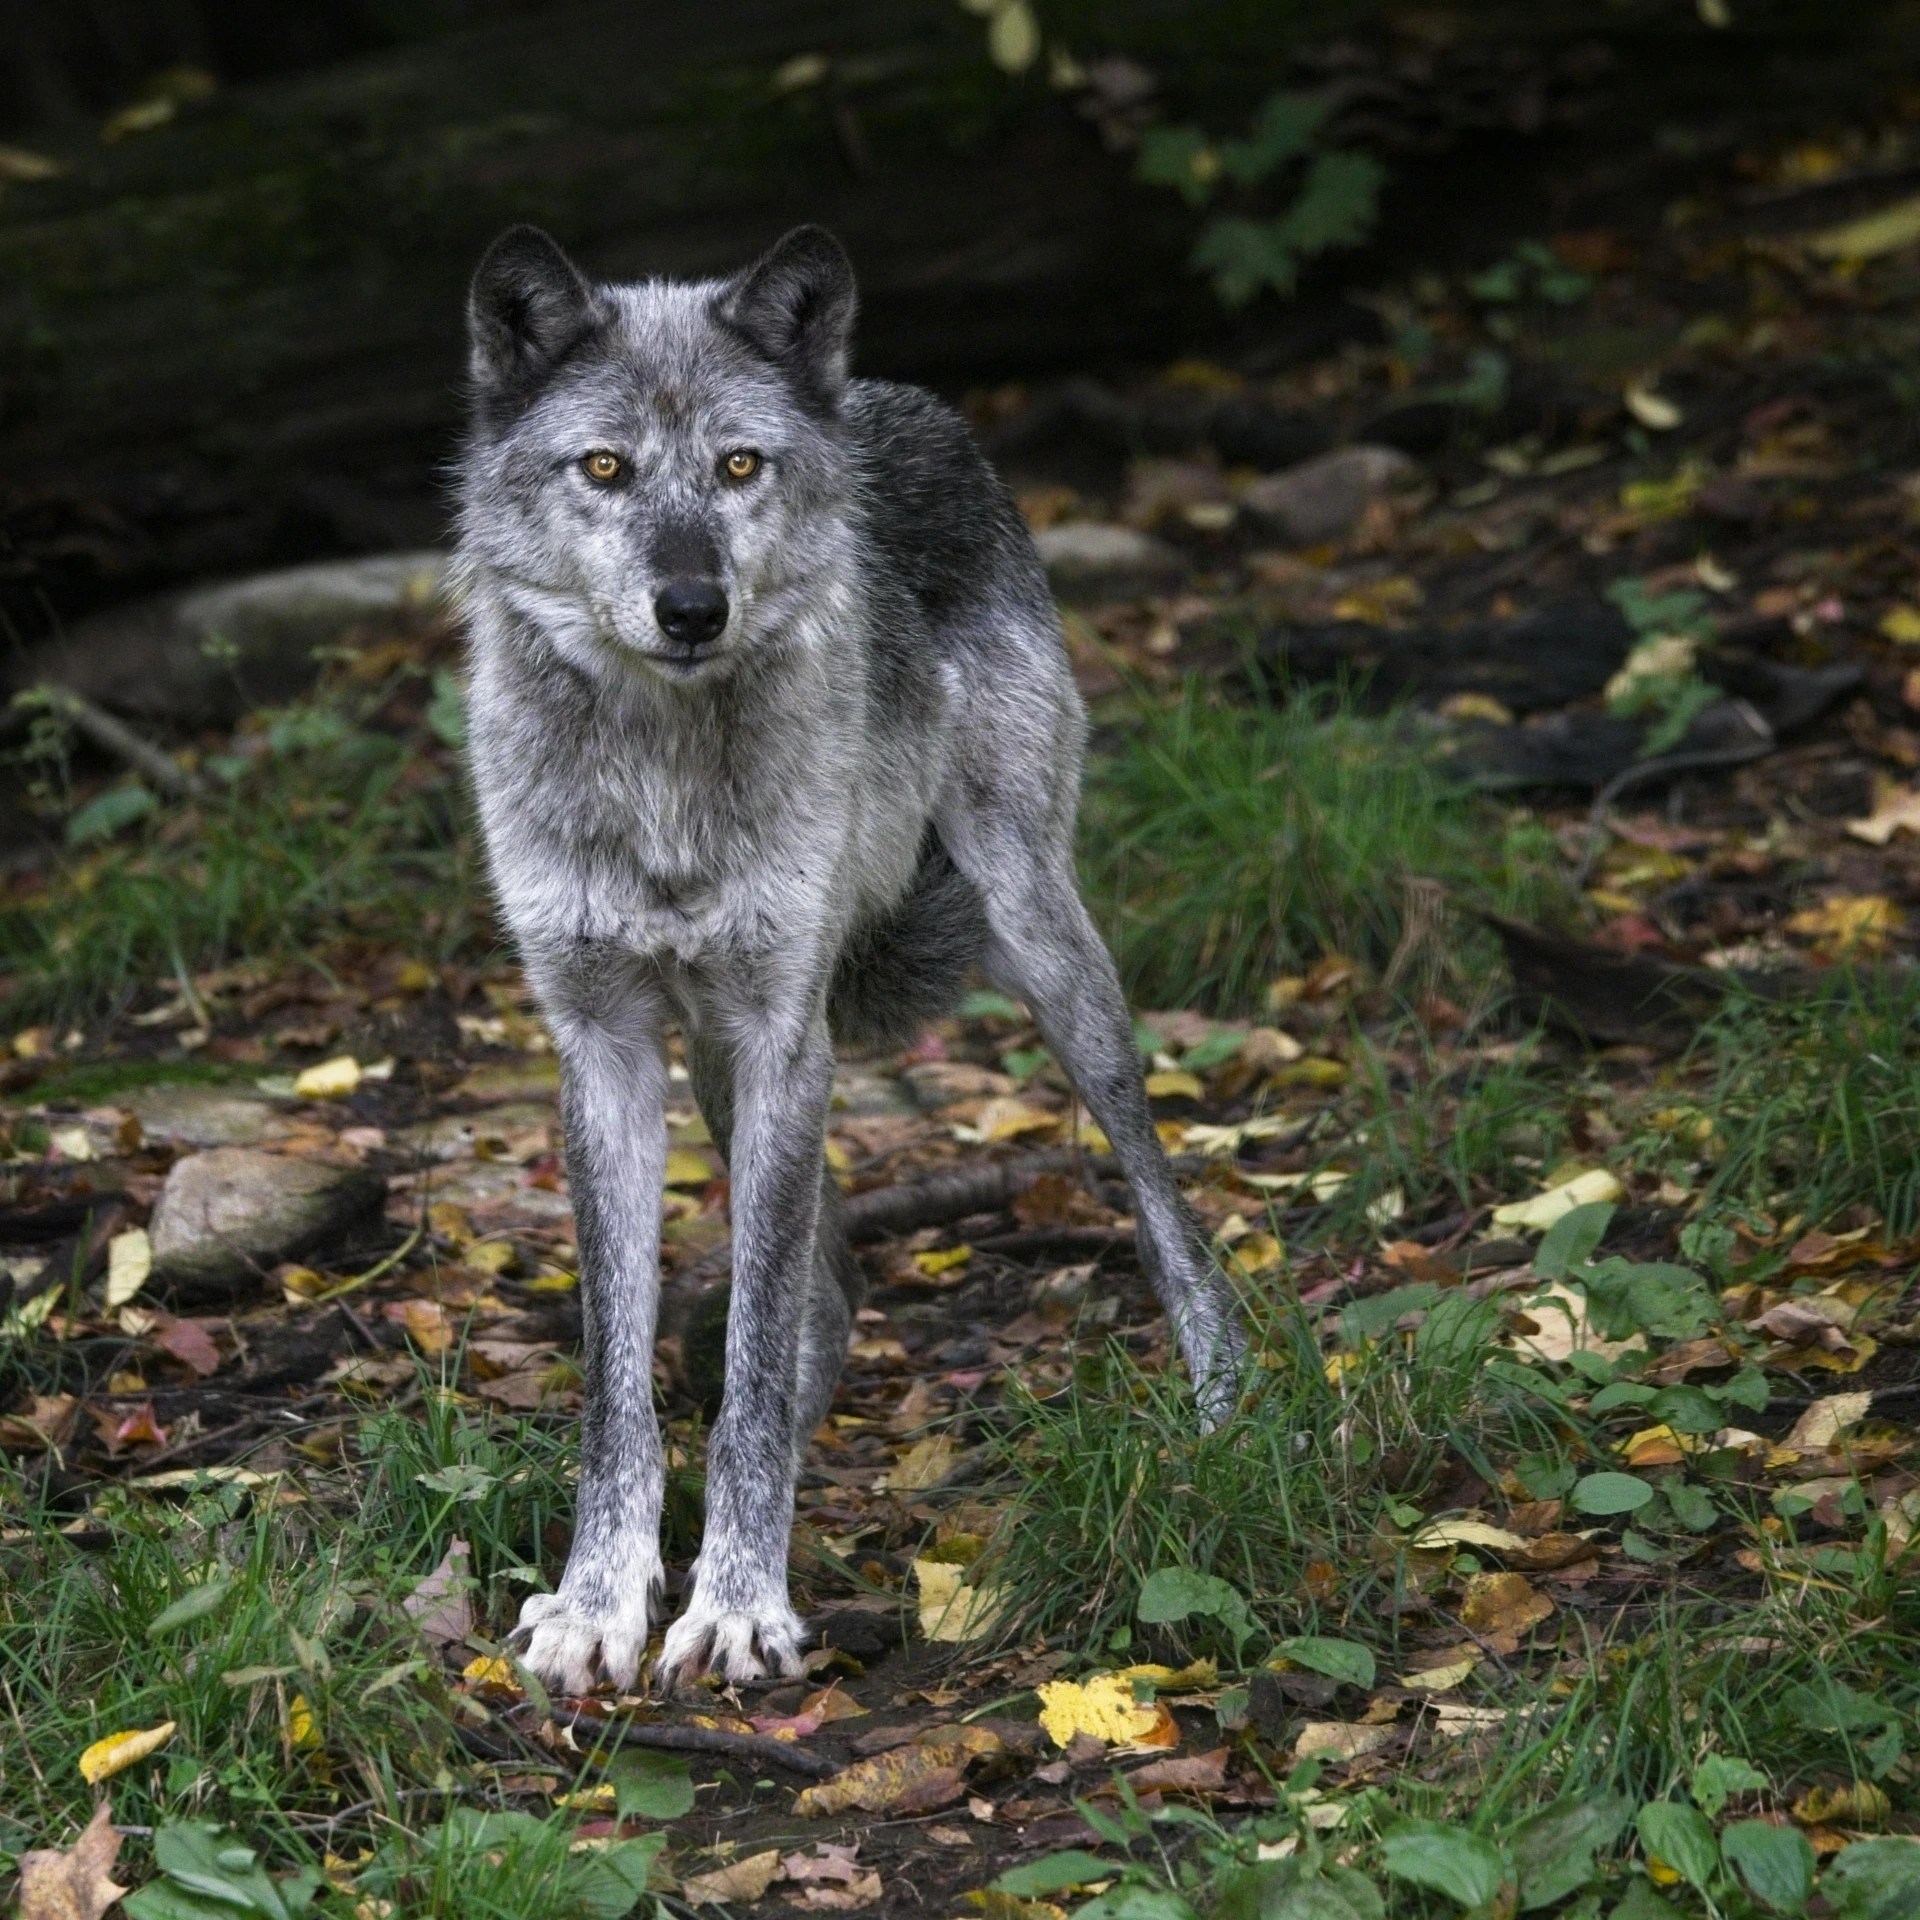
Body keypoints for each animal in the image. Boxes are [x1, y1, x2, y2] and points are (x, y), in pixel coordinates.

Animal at [458, 224, 1251, 1689]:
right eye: (603, 468)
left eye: (738, 467)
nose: (692, 606)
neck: (662, 774)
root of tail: (896, 395)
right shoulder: (606, 1046)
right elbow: (619, 1376)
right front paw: (603, 1601)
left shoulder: (785, 1036)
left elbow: (754, 1352)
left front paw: (736, 1606)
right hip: (727, 1061)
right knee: (822, 1298)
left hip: (1041, 952)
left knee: (1161, 1207)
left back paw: (1228, 1404)